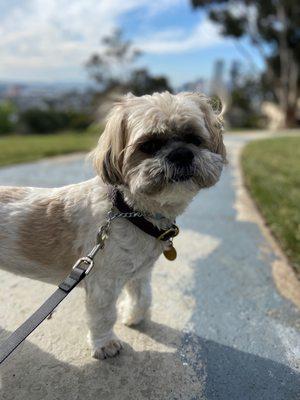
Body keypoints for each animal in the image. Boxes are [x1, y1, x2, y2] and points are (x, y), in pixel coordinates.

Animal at [0, 91, 225, 360]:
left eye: (194, 139)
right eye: (148, 145)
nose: (181, 153)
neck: (129, 211)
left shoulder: (140, 271)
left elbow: (143, 296)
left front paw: (134, 316)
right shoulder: (103, 282)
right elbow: (104, 316)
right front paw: (105, 344)